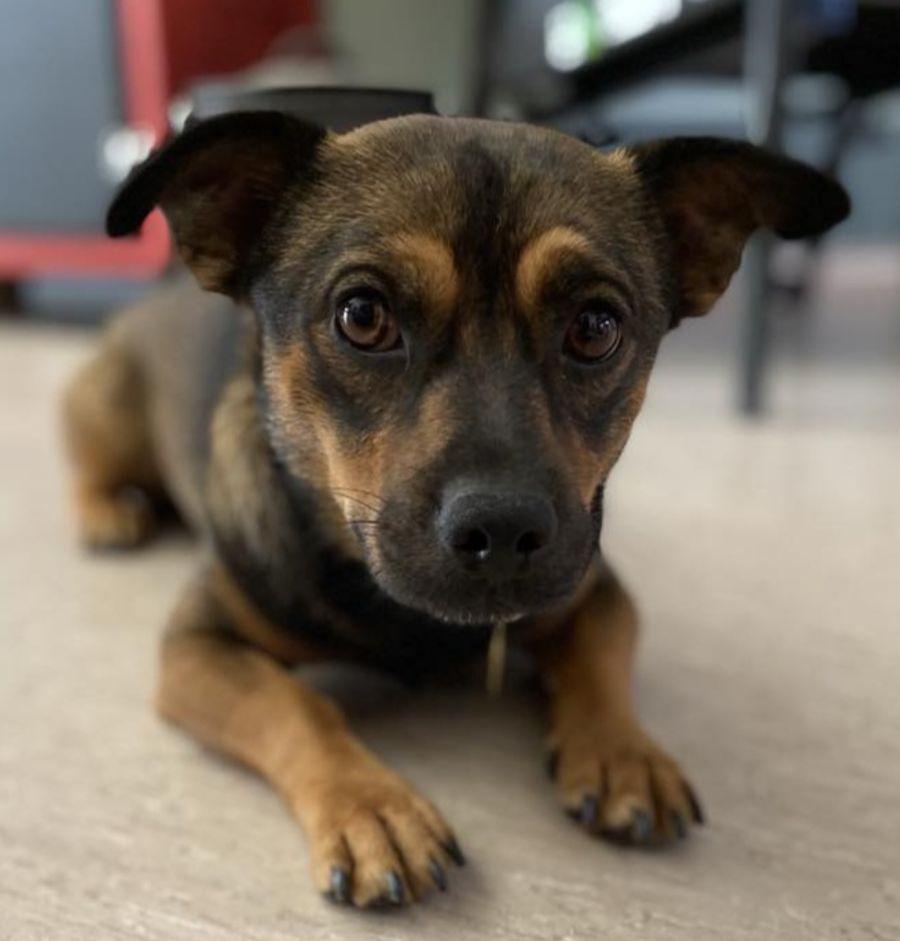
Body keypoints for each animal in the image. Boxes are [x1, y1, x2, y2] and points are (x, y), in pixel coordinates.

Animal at [63, 106, 852, 908]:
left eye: (596, 327)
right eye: (362, 316)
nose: (502, 529)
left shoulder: (597, 590)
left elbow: (601, 657)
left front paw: (623, 751)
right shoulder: (197, 645)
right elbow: (297, 706)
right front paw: (372, 807)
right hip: (105, 405)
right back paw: (107, 513)